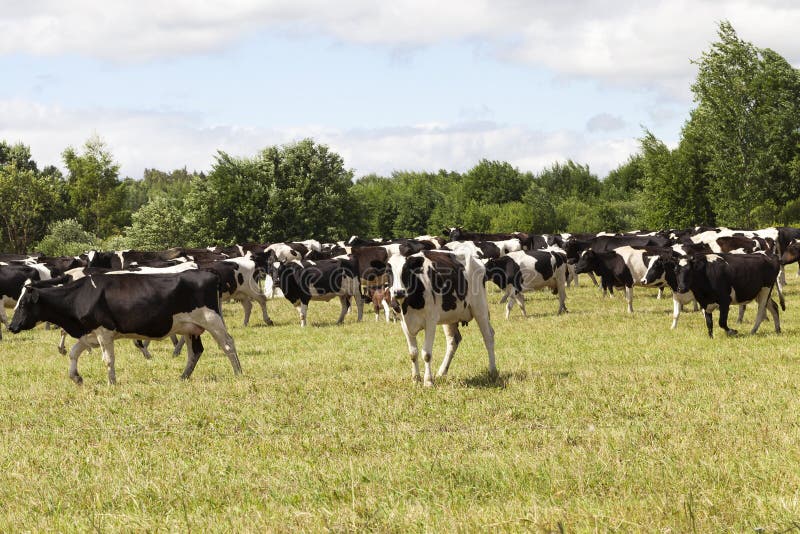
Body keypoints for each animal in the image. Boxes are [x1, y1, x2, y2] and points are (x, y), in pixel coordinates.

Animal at [7, 272, 241, 386]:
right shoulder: (88, 333)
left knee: (228, 344)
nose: (11, 326)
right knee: (195, 352)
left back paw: (238, 372)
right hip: (190, 328)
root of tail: (210, 274)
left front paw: (111, 382)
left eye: (24, 304)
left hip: (212, 320)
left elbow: (108, 359)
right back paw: (183, 377)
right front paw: (76, 377)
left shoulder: (104, 332)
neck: (80, 296)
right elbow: (73, 353)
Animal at [386, 249, 494, 388]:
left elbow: (426, 354)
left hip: (479, 307)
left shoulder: (431, 321)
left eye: (406, 269)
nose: (398, 292)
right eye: (388, 271)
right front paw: (416, 379)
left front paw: (428, 381)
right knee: (453, 340)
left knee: (488, 337)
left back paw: (492, 370)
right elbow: (413, 353)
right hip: (450, 316)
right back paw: (442, 372)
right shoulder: (404, 324)